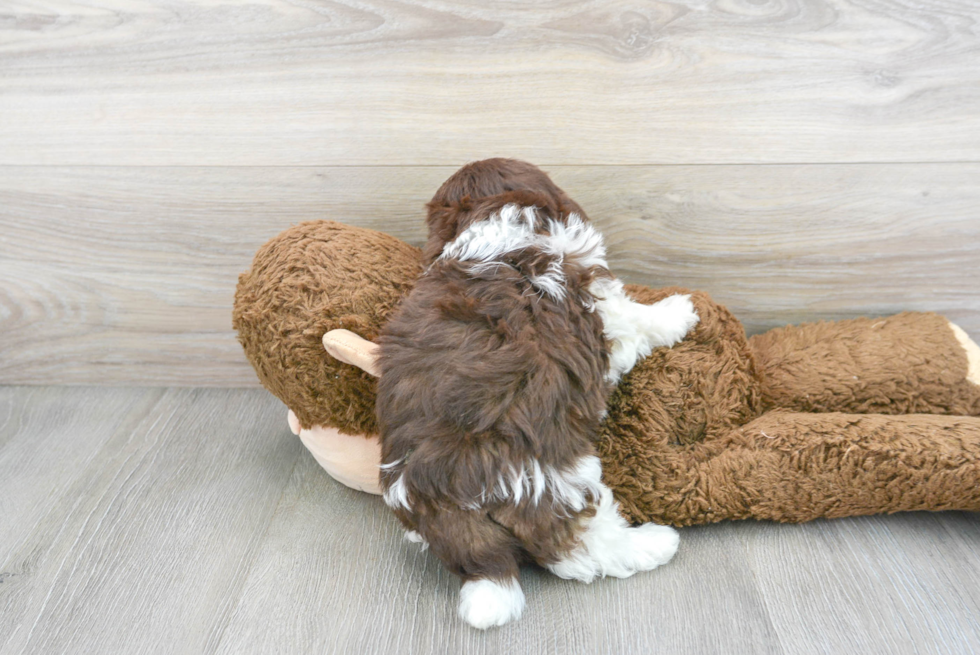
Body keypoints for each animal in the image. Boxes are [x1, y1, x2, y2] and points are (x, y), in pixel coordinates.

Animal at [376, 159, 696, 632]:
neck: (494, 226)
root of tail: (446, 495)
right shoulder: (602, 309)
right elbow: (637, 319)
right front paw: (677, 312)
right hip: (556, 483)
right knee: (581, 550)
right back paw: (653, 543)